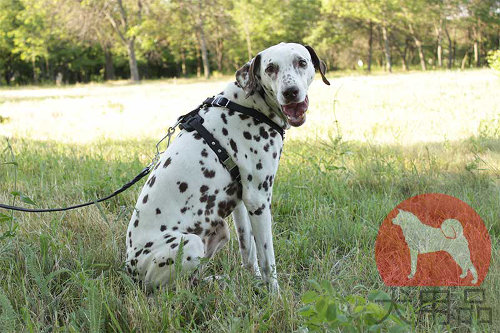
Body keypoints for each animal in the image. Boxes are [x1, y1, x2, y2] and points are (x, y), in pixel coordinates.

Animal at [124, 42, 328, 290]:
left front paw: (255, 283)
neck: (248, 105)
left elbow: (249, 252)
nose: (290, 92)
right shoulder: (259, 201)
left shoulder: (241, 203)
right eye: (270, 68)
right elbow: (268, 260)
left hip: (220, 229)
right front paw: (275, 295)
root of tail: (130, 269)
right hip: (189, 243)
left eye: (302, 62)